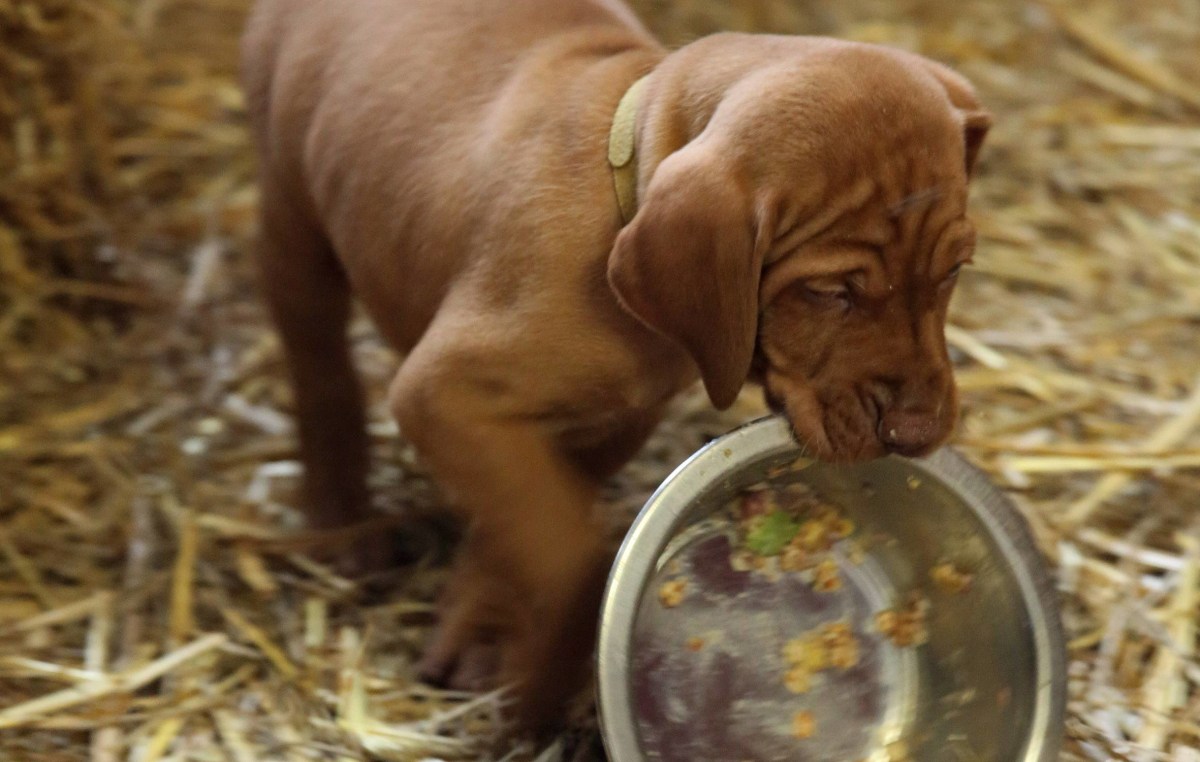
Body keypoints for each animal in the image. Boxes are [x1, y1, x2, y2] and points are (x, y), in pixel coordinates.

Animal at [238, 0, 988, 729]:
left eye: (955, 270)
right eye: (830, 293)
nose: (919, 433)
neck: (620, 187)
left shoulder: (620, 415)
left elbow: (519, 528)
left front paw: (482, 625)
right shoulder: (445, 395)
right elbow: (571, 553)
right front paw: (542, 683)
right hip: (290, 211)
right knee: (320, 368)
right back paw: (341, 521)